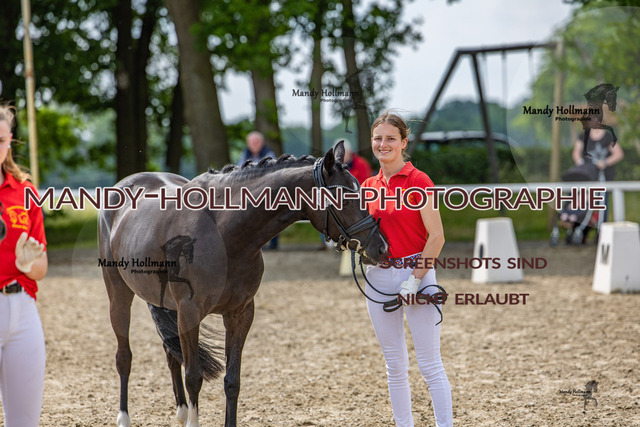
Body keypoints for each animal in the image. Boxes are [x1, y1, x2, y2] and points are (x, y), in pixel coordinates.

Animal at [98, 141, 388, 427]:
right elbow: (194, 377)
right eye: (344, 197)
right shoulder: (189, 312)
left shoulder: (240, 313)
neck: (225, 235)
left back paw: (180, 412)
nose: (381, 247)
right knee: (124, 357)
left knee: (170, 353)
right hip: (119, 296)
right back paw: (124, 417)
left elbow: (232, 381)